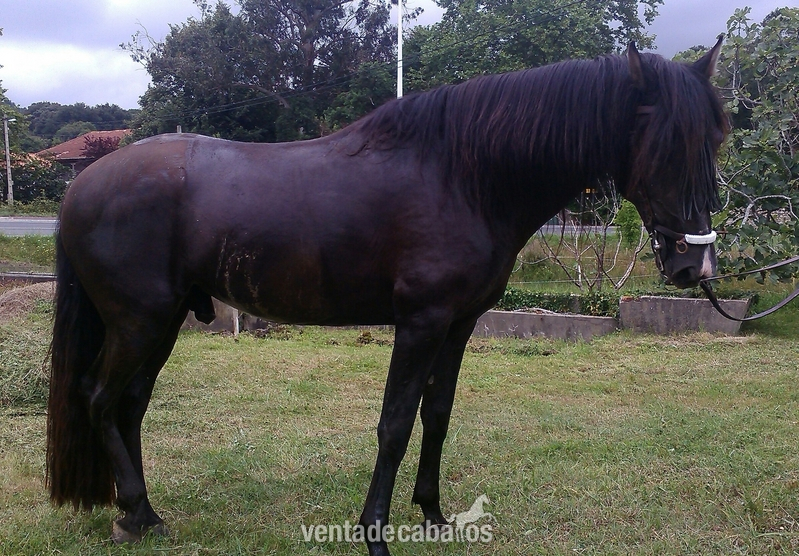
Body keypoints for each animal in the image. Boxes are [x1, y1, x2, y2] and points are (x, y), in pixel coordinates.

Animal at [47, 38, 729, 556]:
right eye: (668, 146)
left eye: (716, 142)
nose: (695, 265)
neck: (463, 174)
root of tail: (82, 185)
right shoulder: (420, 323)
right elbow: (395, 422)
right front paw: (374, 532)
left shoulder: (459, 324)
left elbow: (437, 414)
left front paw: (433, 515)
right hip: (138, 322)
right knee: (101, 398)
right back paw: (136, 511)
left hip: (159, 324)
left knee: (130, 405)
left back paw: (141, 515)